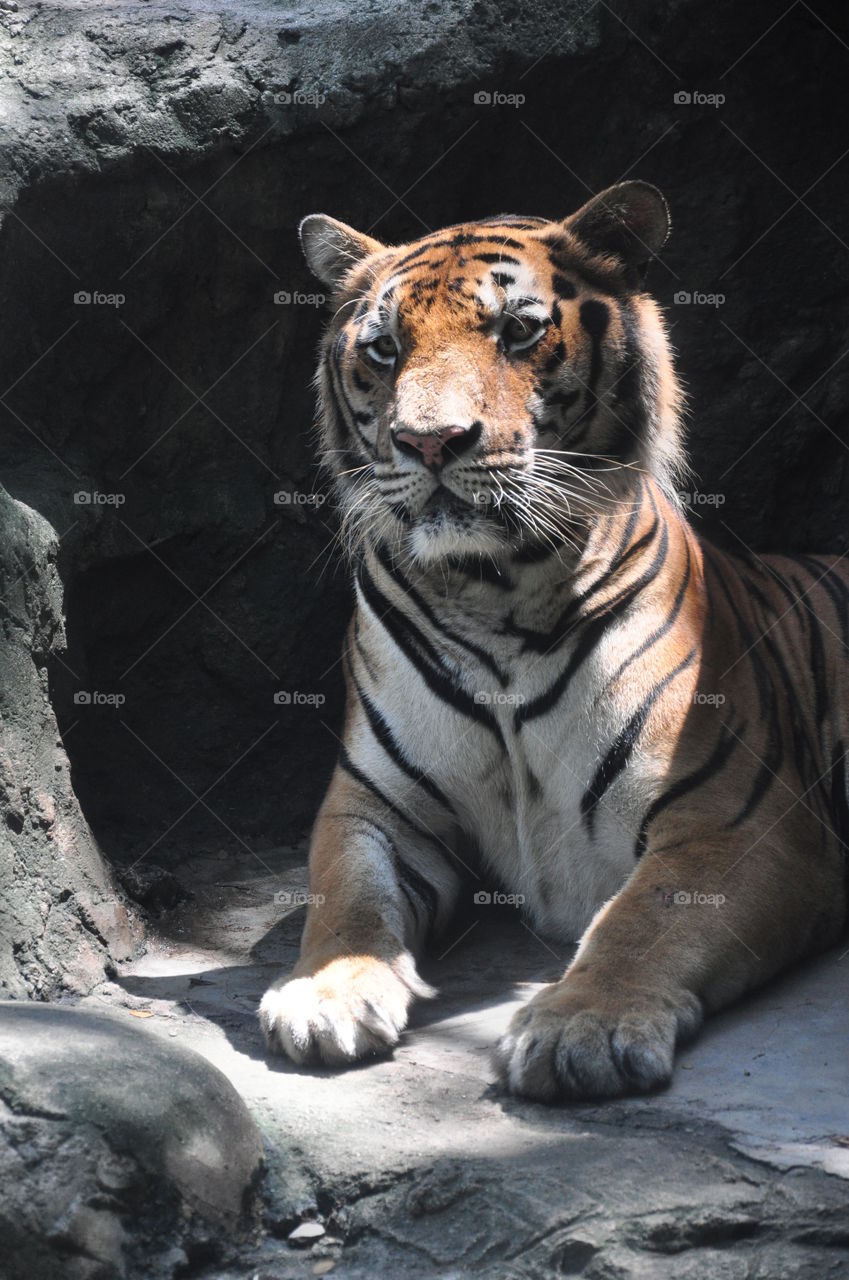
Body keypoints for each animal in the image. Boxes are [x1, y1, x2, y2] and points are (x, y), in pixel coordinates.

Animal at [259, 181, 849, 1101]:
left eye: (518, 331)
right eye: (385, 349)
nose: (427, 442)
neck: (489, 592)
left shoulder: (734, 816)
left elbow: (642, 919)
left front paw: (583, 1026)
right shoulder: (375, 802)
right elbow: (345, 896)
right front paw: (325, 995)